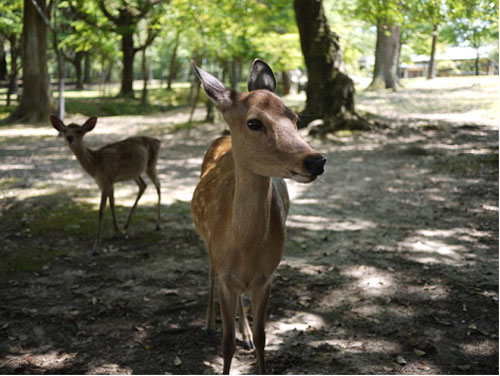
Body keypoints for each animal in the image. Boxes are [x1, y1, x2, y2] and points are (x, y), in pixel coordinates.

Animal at [50, 117, 161, 253]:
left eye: (80, 130)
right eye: (64, 130)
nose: (70, 137)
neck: (95, 165)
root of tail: (158, 141)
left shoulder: (106, 181)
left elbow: (101, 211)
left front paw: (95, 247)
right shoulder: (106, 182)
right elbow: (112, 204)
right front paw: (116, 232)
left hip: (151, 165)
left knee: (158, 185)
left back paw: (157, 225)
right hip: (135, 173)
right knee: (143, 185)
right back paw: (127, 224)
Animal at [191, 60, 328, 374]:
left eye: (295, 118)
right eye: (254, 122)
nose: (316, 160)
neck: (244, 246)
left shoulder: (267, 275)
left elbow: (265, 338)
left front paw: (252, 338)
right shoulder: (225, 272)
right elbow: (226, 343)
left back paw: (246, 335)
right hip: (207, 244)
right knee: (210, 271)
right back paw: (208, 324)